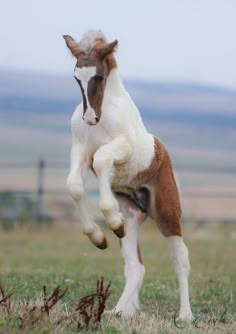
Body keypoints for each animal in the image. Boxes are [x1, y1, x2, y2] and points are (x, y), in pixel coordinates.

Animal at [63, 31, 193, 320]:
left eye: (99, 76)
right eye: (77, 78)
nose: (90, 118)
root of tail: (162, 149)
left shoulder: (121, 148)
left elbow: (102, 161)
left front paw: (110, 218)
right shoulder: (80, 150)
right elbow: (74, 185)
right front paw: (99, 236)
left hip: (166, 212)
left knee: (180, 258)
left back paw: (185, 315)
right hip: (133, 217)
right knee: (136, 267)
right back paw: (118, 311)